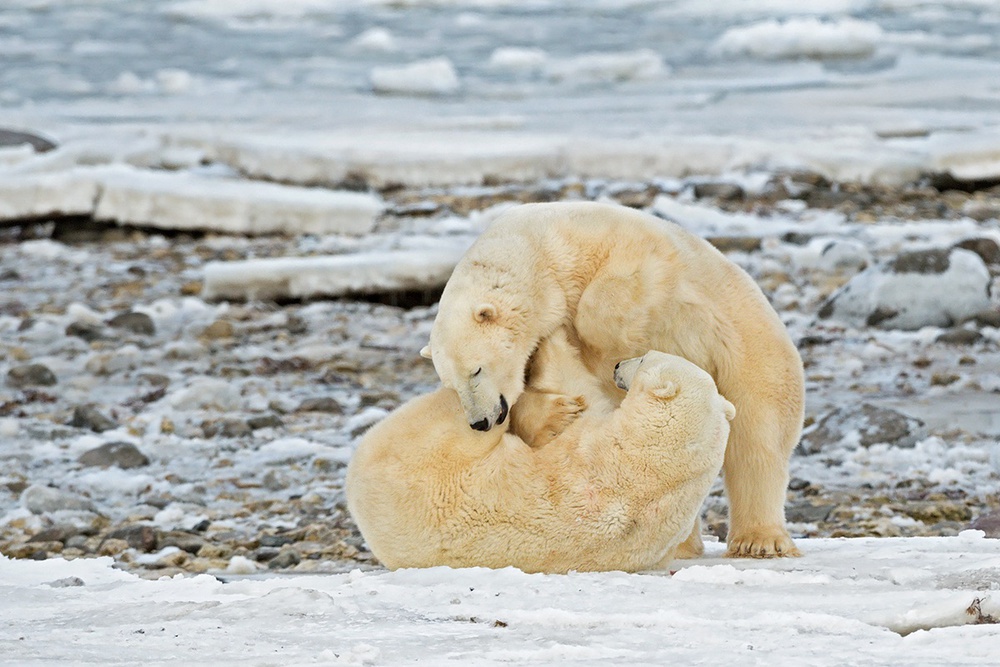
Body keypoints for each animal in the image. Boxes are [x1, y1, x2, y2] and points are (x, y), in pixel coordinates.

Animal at [346, 334, 736, 576]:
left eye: (645, 358)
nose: (617, 367)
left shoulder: (592, 446)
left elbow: (576, 386)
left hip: (426, 445)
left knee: (467, 416)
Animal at [420, 201, 804, 560]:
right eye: (452, 385)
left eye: (476, 370)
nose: (480, 422)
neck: (538, 249)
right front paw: (558, 412)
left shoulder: (627, 248)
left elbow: (615, 293)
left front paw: (594, 336)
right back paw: (683, 546)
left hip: (751, 349)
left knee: (758, 438)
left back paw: (759, 540)